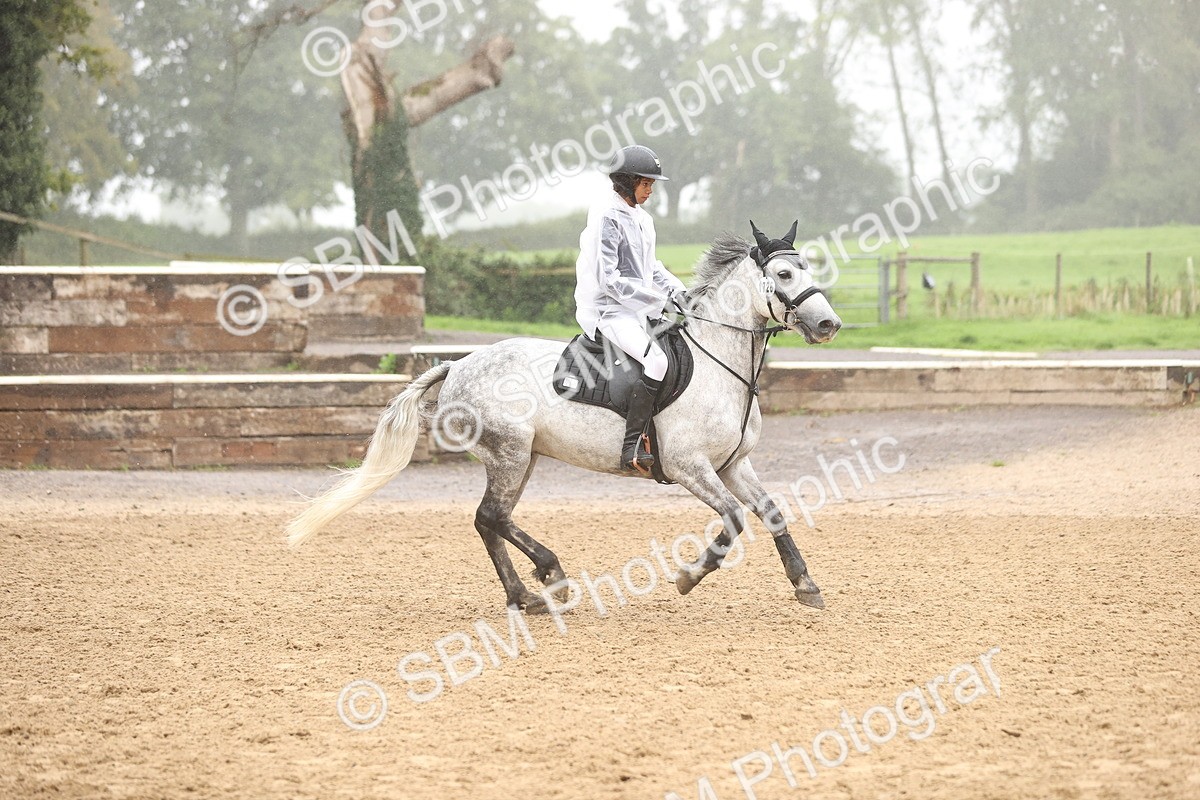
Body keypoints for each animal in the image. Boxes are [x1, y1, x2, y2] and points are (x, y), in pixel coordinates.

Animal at [285, 222, 842, 611]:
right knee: (491, 517)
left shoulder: (733, 465)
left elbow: (770, 511)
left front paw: (806, 584)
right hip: (509, 453)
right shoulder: (690, 467)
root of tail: (458, 364)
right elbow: (733, 520)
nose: (829, 324)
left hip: (522, 457)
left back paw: (525, 595)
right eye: (784, 274)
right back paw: (549, 576)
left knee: (492, 520)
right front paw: (688, 577)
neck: (719, 360)